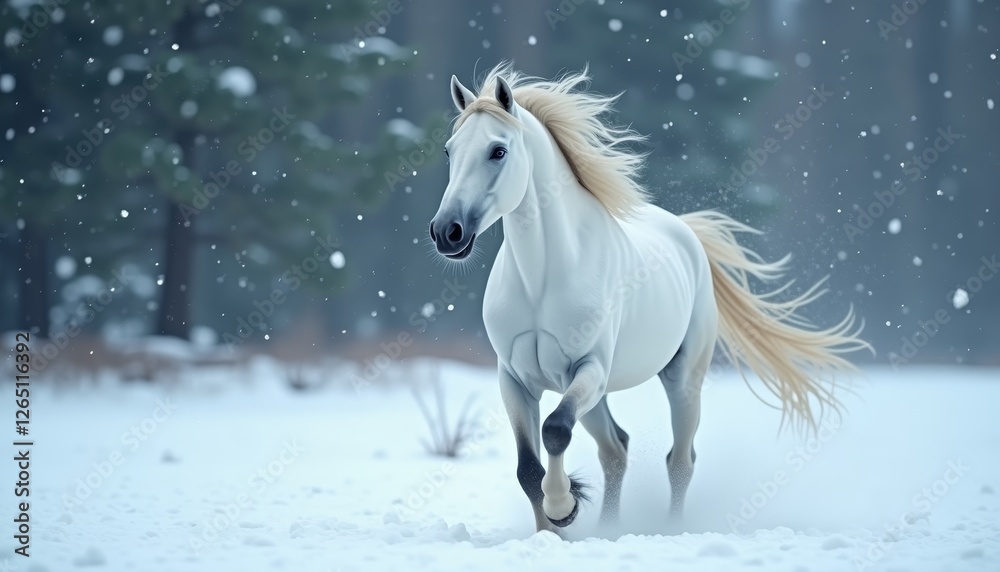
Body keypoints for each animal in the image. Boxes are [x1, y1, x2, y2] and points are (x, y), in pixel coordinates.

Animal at [428, 63, 872, 534]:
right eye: (449, 151)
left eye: (498, 151)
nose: (446, 232)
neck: (541, 281)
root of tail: (687, 232)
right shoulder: (514, 379)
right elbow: (528, 468)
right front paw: (551, 531)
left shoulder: (589, 368)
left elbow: (556, 431)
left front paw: (563, 506)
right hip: (596, 394)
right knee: (616, 450)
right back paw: (608, 529)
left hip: (681, 380)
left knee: (679, 460)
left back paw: (670, 527)